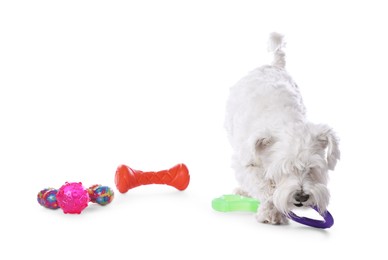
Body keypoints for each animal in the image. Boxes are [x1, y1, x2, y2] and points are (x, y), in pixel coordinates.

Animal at [224, 32, 340, 223]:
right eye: (284, 170)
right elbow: (262, 184)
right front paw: (270, 210)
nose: (301, 196)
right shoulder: (244, 162)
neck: (287, 121)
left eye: (312, 169)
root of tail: (274, 65)